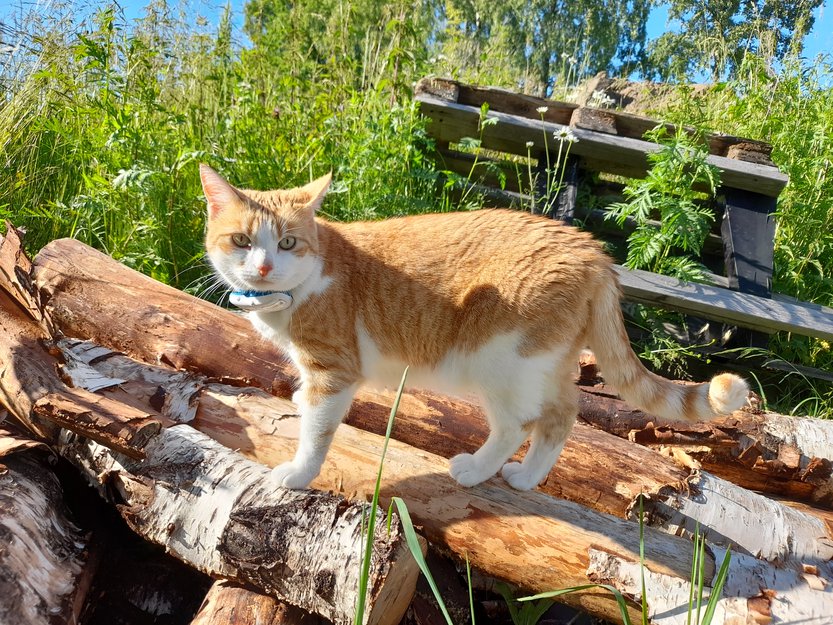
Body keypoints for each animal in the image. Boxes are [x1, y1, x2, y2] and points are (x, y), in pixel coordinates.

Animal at [200, 164, 749, 491]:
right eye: (242, 240)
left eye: (288, 243)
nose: (264, 267)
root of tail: (593, 251)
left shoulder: (333, 373)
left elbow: (317, 431)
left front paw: (297, 473)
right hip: (546, 363)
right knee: (562, 416)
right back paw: (527, 478)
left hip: (500, 361)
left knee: (518, 423)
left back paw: (476, 469)